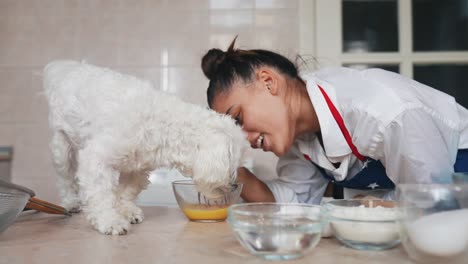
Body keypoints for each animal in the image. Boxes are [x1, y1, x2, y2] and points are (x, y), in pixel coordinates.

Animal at [43, 61, 247, 235]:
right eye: (231, 164)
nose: (233, 186)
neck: (163, 124)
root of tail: (67, 67)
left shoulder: (137, 168)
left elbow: (126, 192)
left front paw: (127, 212)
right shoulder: (96, 159)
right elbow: (101, 195)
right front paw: (110, 221)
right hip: (62, 147)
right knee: (65, 179)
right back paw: (70, 202)